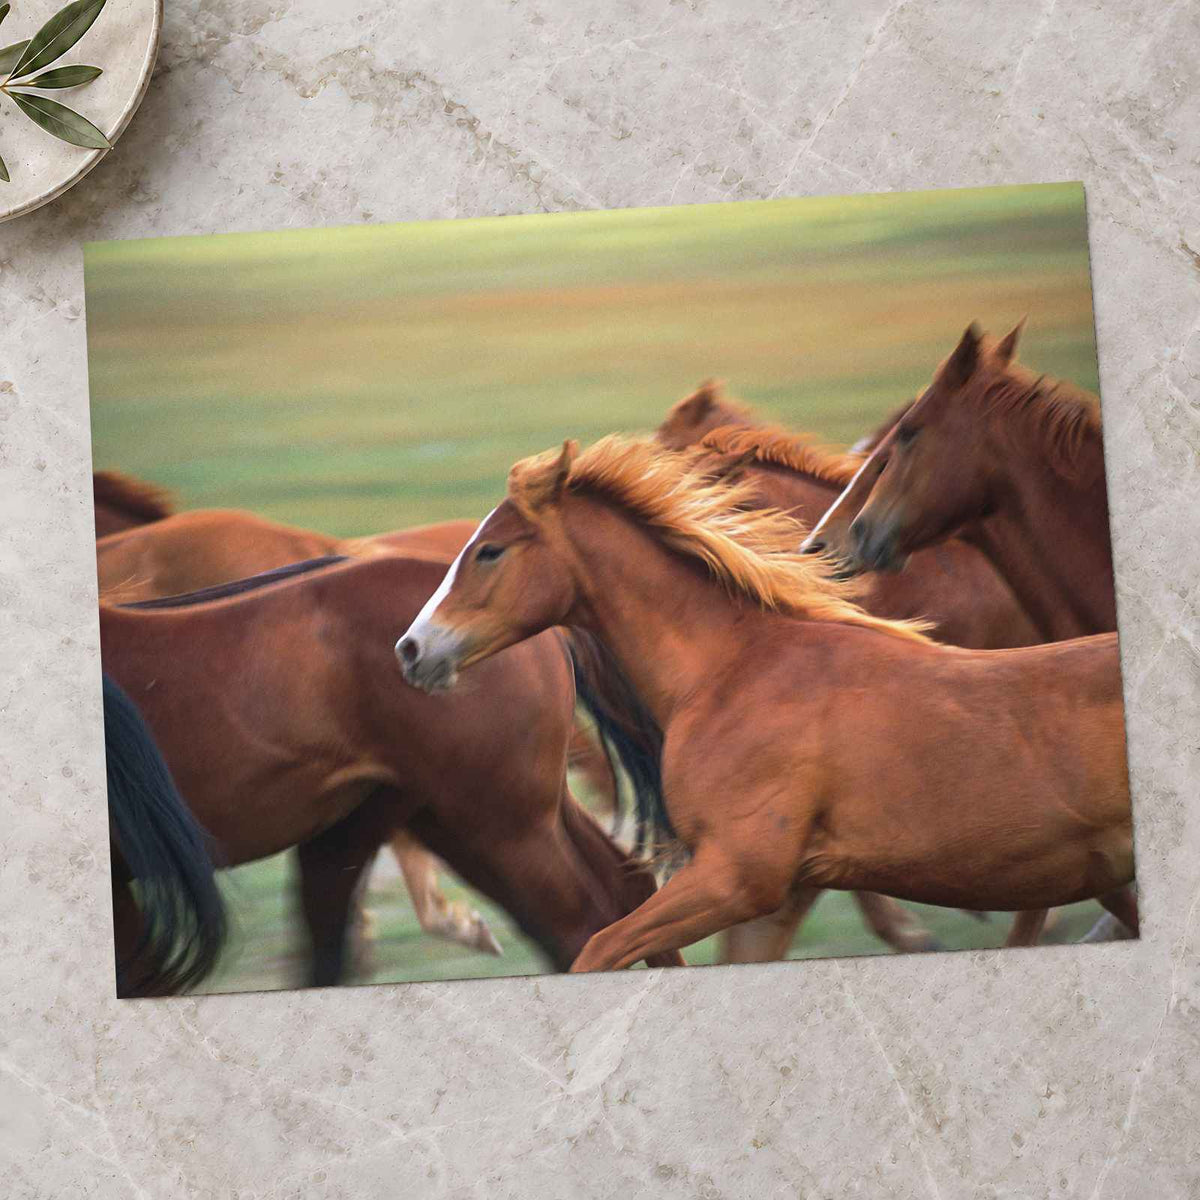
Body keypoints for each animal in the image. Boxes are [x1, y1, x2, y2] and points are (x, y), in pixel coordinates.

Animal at [396, 436, 1135, 971]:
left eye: (489, 551)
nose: (410, 649)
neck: (731, 669)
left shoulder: (737, 878)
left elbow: (598, 949)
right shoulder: (776, 896)